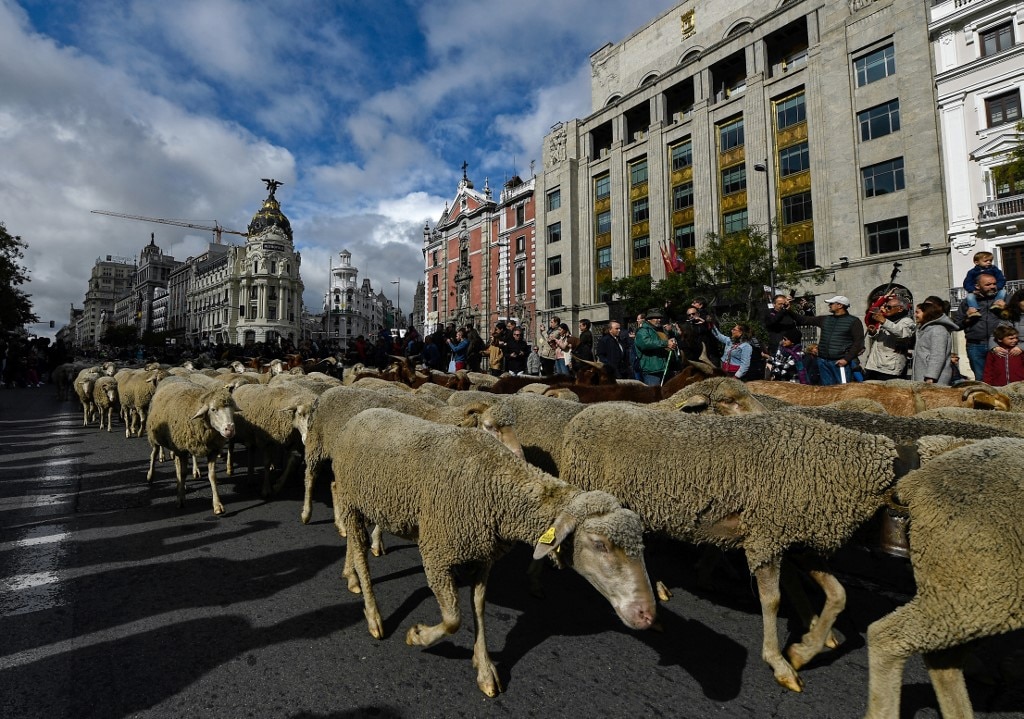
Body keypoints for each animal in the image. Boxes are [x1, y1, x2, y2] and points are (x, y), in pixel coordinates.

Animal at [145, 381, 238, 516]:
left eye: (232, 410)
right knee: (154, 454)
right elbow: (182, 473)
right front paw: (180, 499)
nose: (230, 429)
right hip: (155, 437)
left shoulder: (212, 450)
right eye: (213, 409)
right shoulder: (181, 450)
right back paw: (151, 476)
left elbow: (212, 476)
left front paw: (217, 505)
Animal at [331, 411, 659, 696]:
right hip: (350, 498)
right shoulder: (437, 552)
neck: (495, 485)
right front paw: (418, 635)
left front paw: (485, 668)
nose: (647, 615)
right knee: (359, 550)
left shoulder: (483, 556)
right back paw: (373, 615)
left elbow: (478, 607)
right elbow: (453, 619)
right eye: (600, 544)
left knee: (354, 544)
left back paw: (351, 575)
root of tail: (362, 414)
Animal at [557, 405, 901, 692]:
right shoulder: (767, 536)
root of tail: (583, 415)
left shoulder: (792, 536)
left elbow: (837, 594)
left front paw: (807, 646)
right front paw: (780, 662)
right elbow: (772, 600)